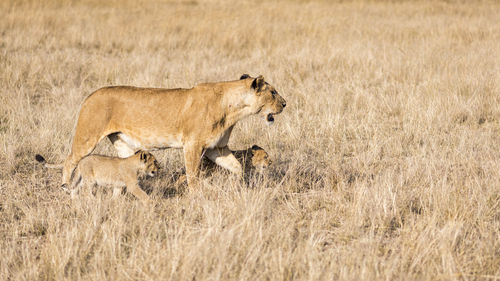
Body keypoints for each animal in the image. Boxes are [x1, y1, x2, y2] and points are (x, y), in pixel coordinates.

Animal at [53, 75, 286, 188]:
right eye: (273, 92)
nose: (285, 103)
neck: (233, 108)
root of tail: (90, 95)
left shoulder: (216, 148)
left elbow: (236, 167)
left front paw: (239, 186)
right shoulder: (192, 144)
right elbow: (193, 175)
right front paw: (196, 197)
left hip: (120, 141)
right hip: (87, 136)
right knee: (69, 161)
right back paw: (65, 188)